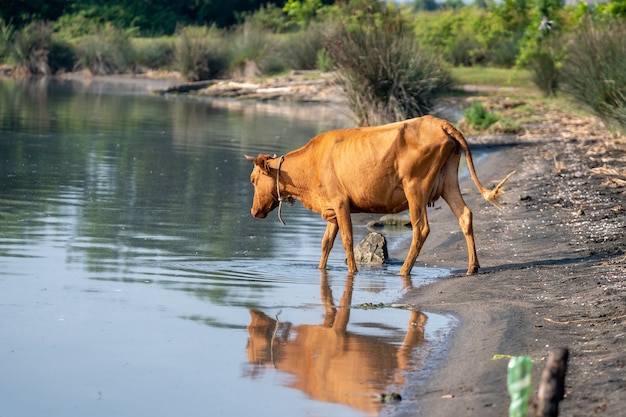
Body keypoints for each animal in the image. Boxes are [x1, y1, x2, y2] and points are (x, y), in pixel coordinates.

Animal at [244, 115, 512, 274]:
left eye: (253, 179)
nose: (254, 211)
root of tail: (440, 122)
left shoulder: (340, 203)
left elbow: (347, 240)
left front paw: (352, 271)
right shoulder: (331, 208)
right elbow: (325, 244)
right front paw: (320, 269)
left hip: (415, 187)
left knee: (421, 228)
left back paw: (404, 271)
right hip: (447, 182)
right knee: (465, 215)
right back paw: (472, 267)